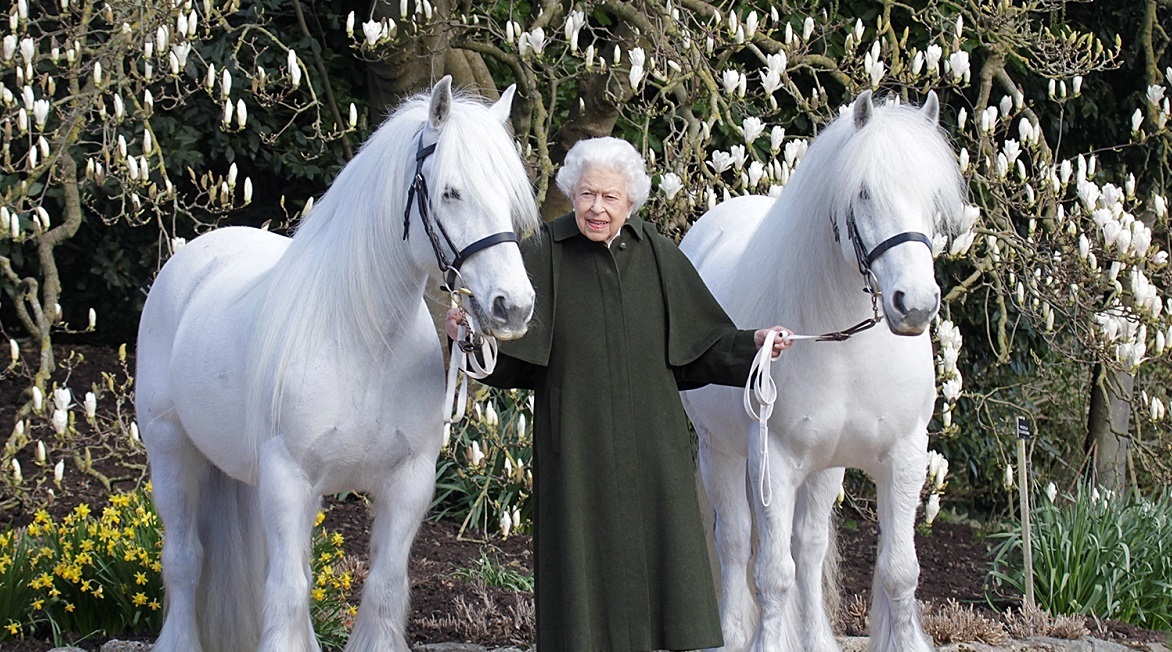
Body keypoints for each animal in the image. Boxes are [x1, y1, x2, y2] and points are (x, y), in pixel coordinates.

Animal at [135, 76, 538, 652]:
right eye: (451, 192)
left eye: (508, 197)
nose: (514, 306)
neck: (363, 341)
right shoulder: (288, 479)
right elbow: (286, 591)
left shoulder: (408, 483)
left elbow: (384, 587)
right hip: (171, 451)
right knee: (186, 559)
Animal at [679, 91, 966, 652]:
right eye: (864, 193)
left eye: (931, 197)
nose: (916, 305)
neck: (846, 347)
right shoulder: (773, 460)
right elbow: (772, 574)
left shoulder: (904, 457)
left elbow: (899, 572)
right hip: (720, 449)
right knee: (734, 542)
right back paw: (732, 633)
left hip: (825, 467)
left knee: (809, 548)